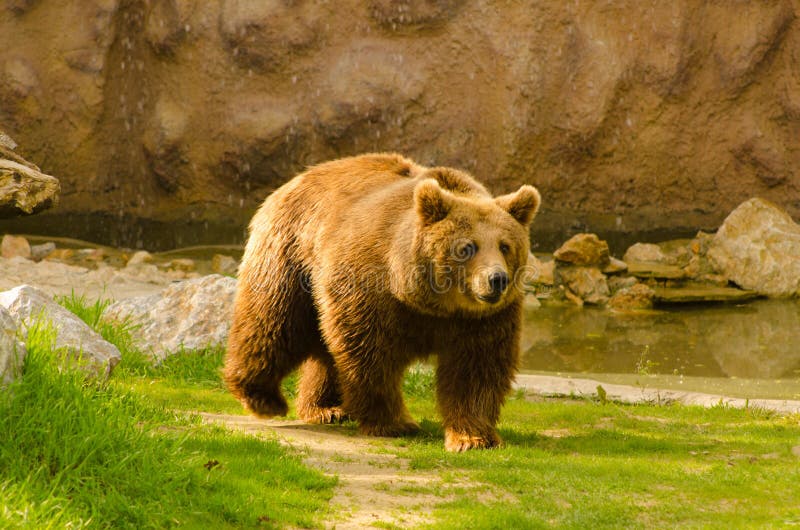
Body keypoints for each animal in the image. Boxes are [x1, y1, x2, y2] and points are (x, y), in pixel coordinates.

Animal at [223, 152, 536, 450]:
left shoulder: (483, 318)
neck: (429, 301)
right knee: (274, 322)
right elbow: (370, 353)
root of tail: (296, 179)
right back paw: (263, 397)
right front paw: (396, 422)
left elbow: (477, 367)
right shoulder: (372, 289)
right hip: (293, 255)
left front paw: (473, 437)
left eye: (505, 246)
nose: (496, 279)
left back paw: (325, 408)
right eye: (467, 247)